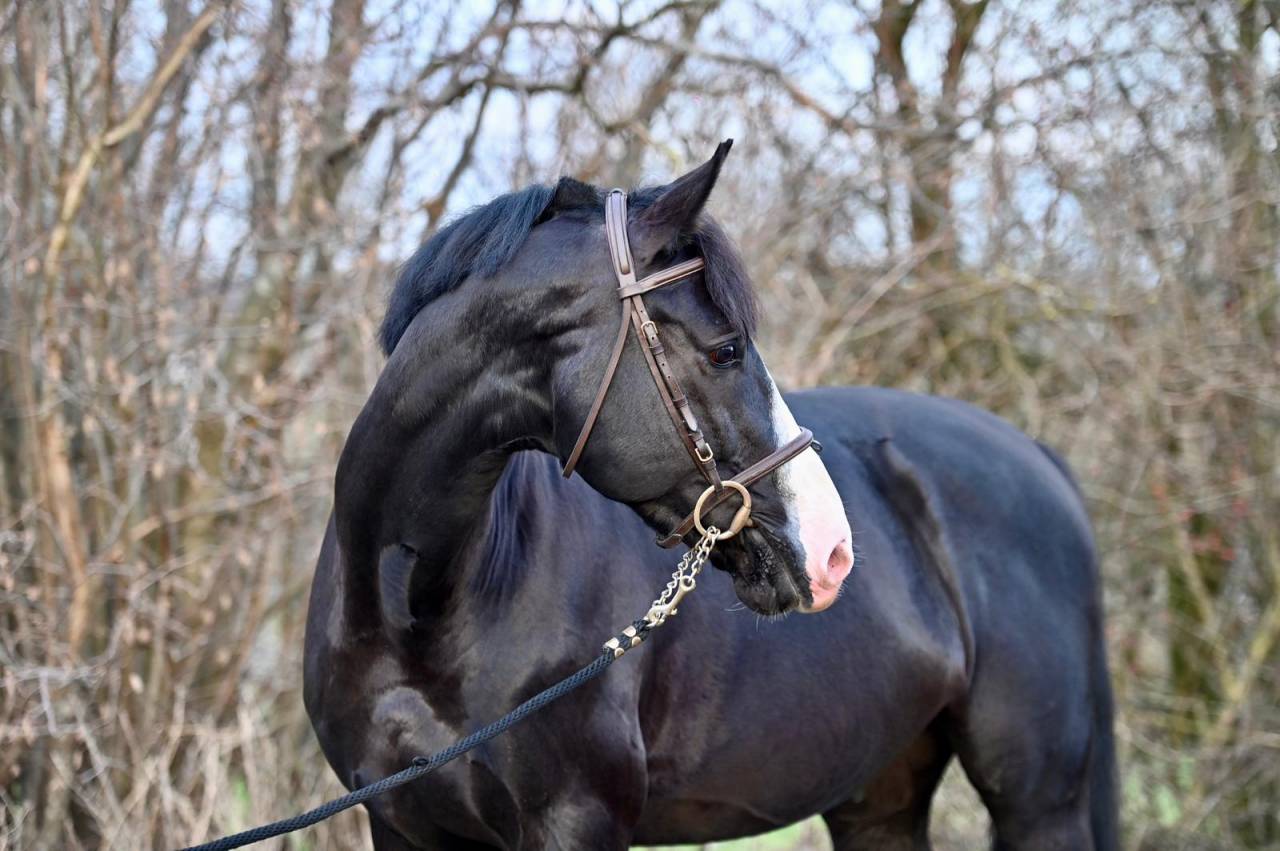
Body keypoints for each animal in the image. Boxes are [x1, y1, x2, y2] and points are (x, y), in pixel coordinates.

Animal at [303, 141, 1118, 850]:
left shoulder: (576, 819)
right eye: (726, 348)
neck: (418, 611)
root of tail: (1038, 456)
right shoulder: (400, 824)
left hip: (1040, 802)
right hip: (880, 794)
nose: (833, 549)